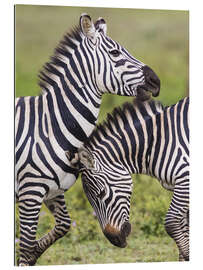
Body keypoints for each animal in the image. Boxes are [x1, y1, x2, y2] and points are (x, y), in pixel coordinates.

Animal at [15, 13, 160, 266]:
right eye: (115, 53)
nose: (157, 81)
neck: (50, 125)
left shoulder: (55, 189)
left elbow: (62, 226)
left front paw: (34, 254)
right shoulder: (30, 191)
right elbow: (25, 244)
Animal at [67, 97, 190, 262]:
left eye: (102, 193)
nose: (115, 240)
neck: (155, 142)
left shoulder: (185, 178)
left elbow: (171, 223)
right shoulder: (178, 185)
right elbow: (185, 226)